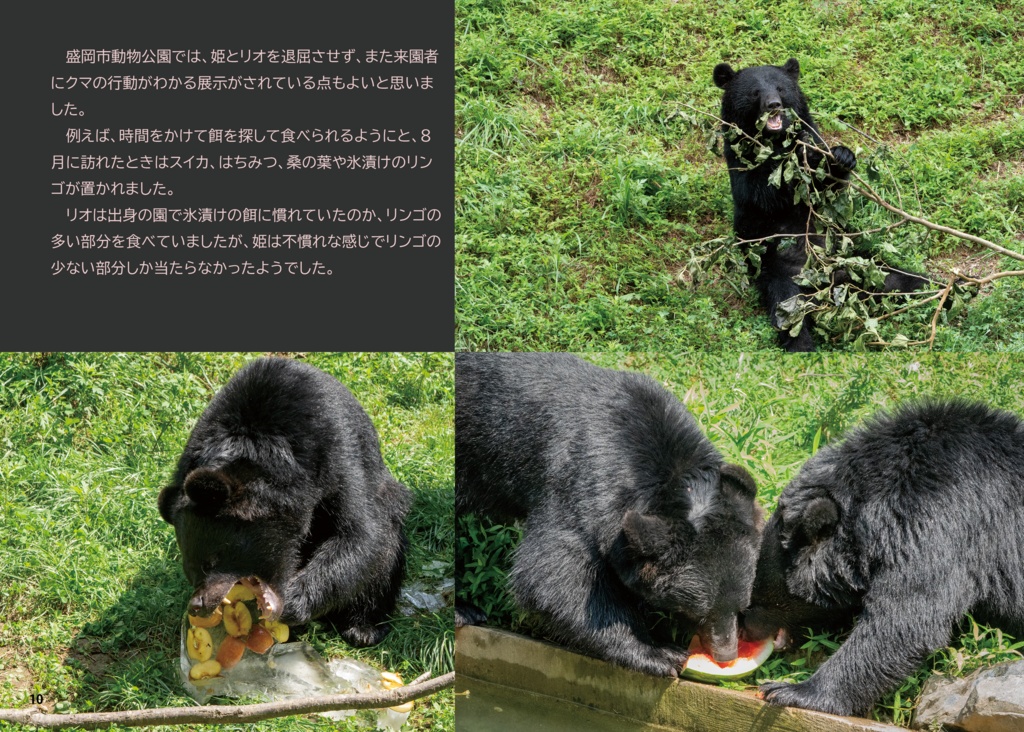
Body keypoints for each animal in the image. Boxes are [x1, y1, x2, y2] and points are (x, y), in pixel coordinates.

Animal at [158, 357, 412, 648]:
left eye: (210, 561)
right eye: (190, 570)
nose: (198, 605)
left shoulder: (335, 452)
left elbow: (361, 532)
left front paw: (294, 600)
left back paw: (363, 627)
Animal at [455, 352, 763, 677]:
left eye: (741, 606)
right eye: (698, 611)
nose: (726, 655)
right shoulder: (582, 485)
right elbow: (556, 578)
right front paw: (660, 653)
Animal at [713, 58, 927, 352]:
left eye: (781, 89)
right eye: (755, 93)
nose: (774, 105)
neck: (774, 141)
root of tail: (830, 281)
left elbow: (828, 191)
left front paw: (840, 156)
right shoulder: (741, 162)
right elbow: (763, 190)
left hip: (861, 263)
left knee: (904, 280)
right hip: (778, 275)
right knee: (790, 317)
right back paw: (802, 347)